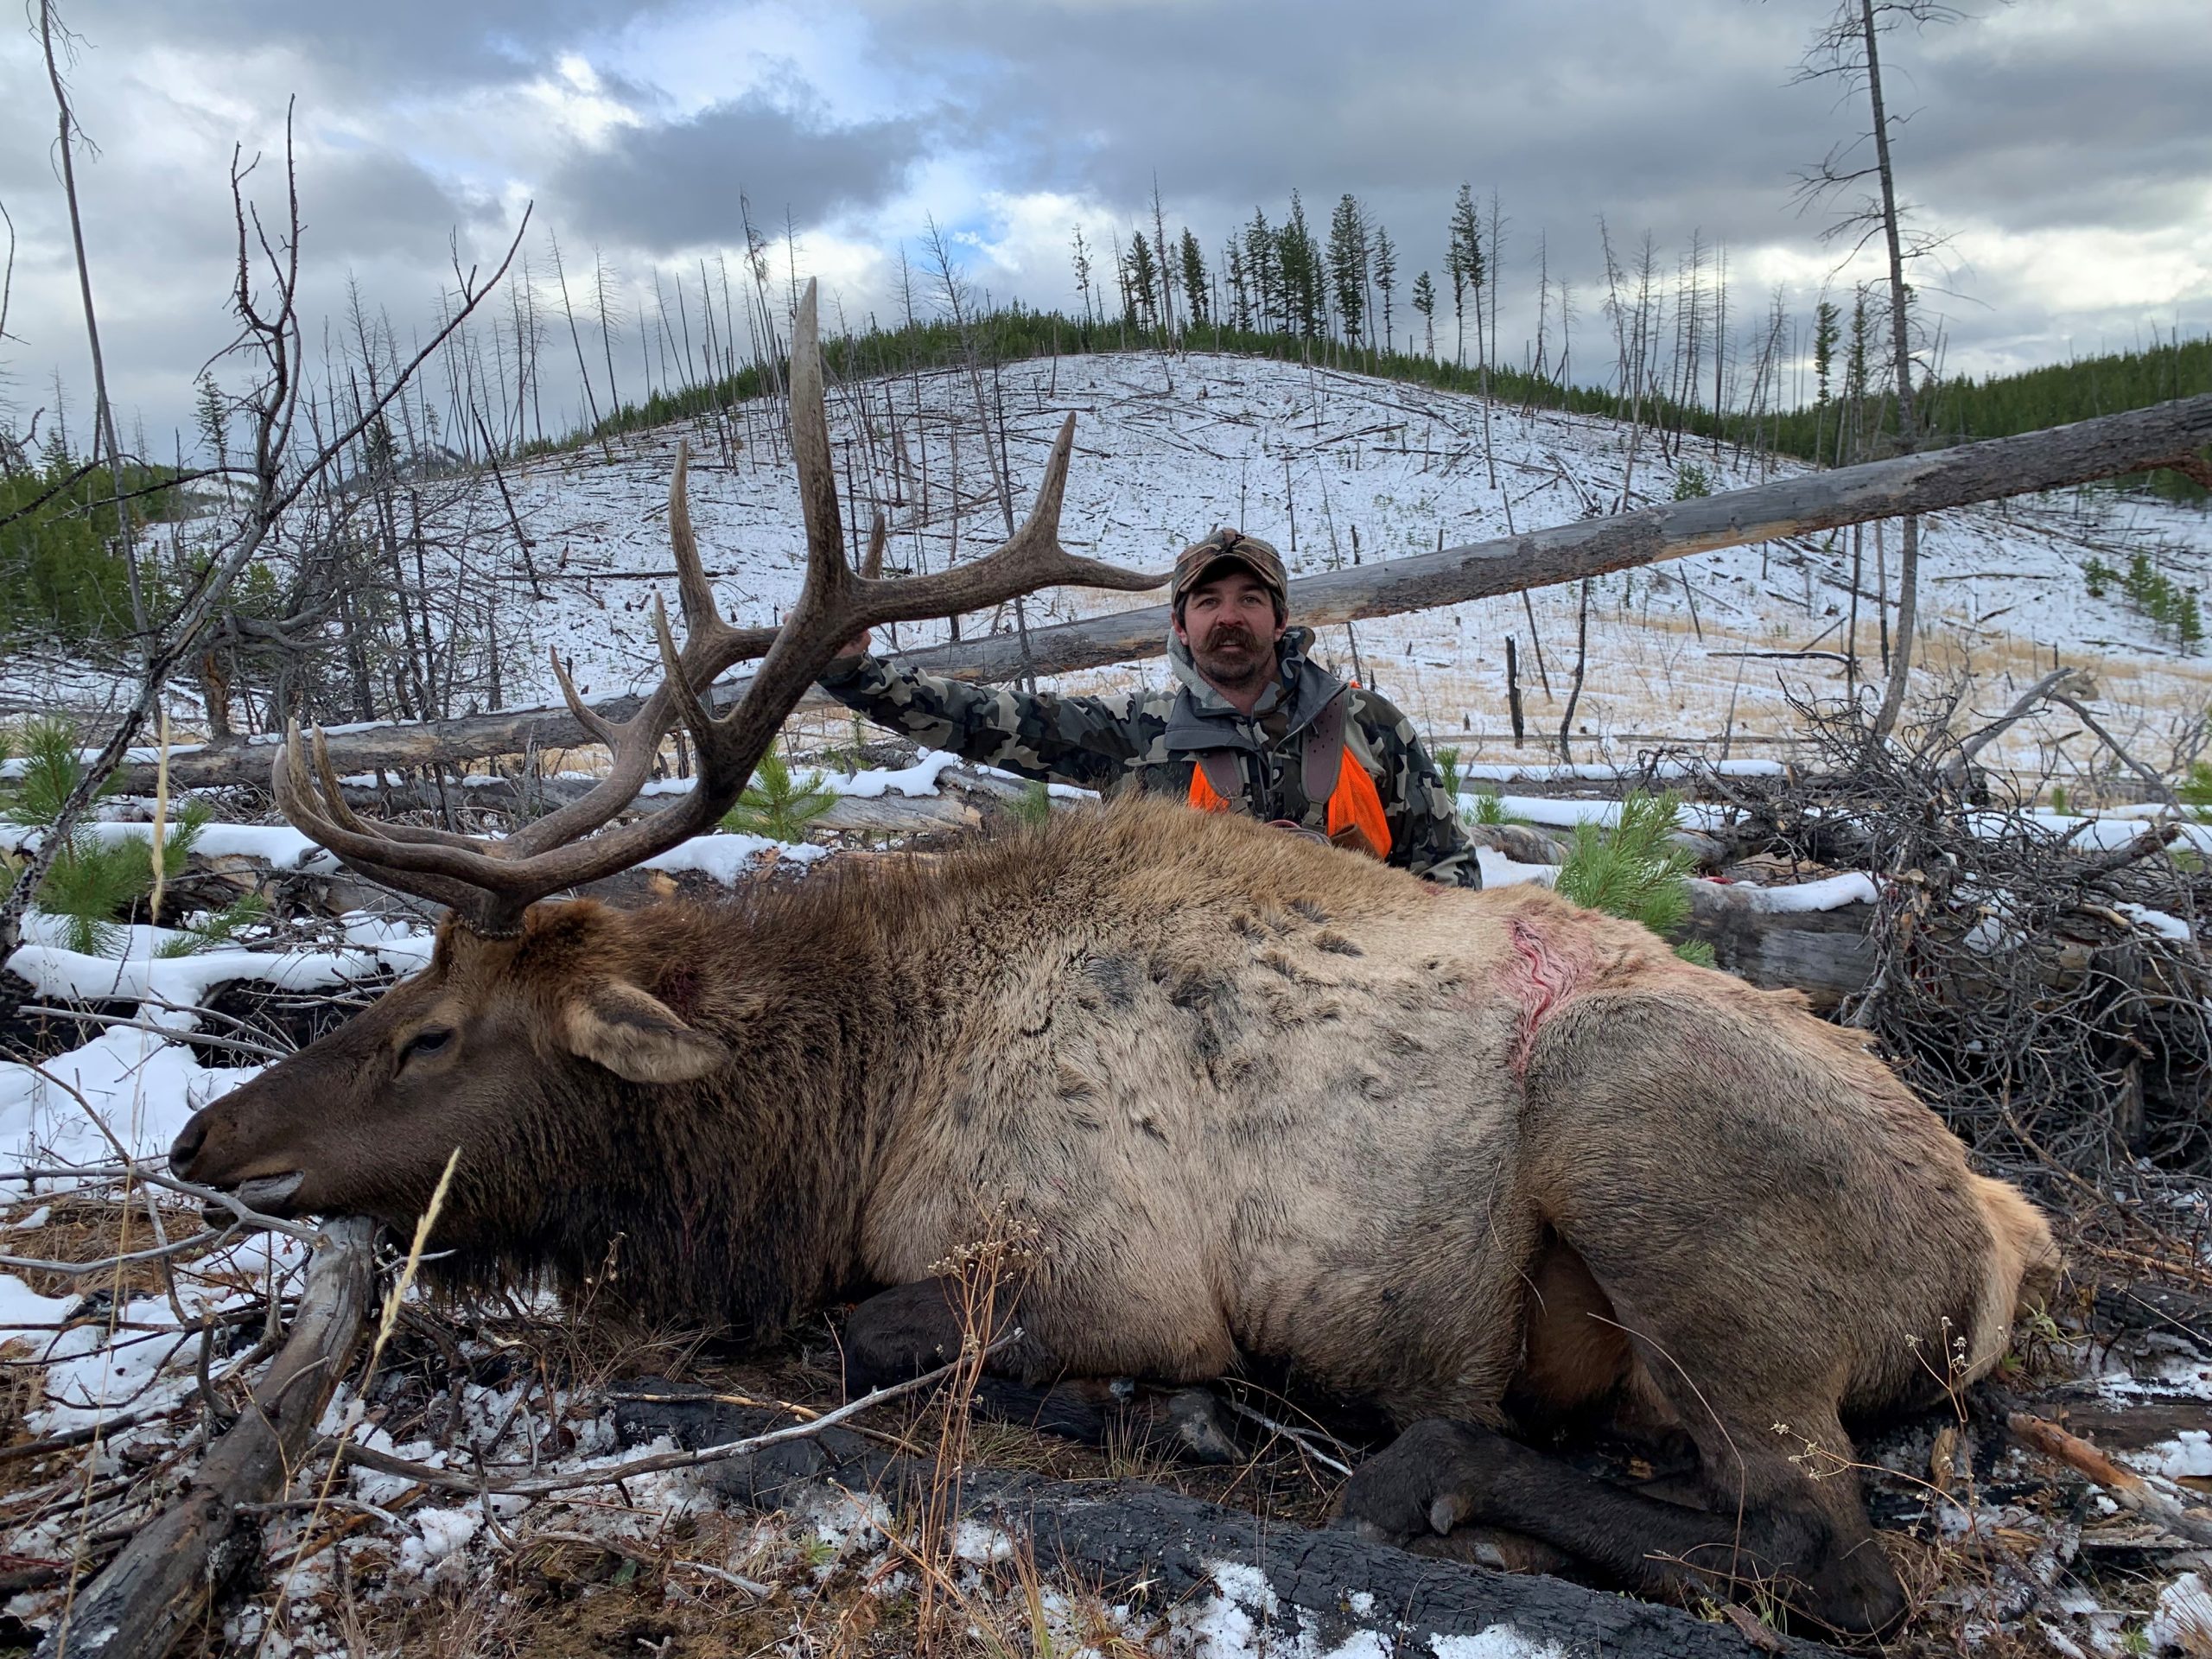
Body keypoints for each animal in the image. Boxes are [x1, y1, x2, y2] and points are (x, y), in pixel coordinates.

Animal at [169, 281, 2057, 1637]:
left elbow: (867, 1337)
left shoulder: (1105, 1266)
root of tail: (1996, 1245)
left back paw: (1431, 1469)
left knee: (1828, 1558)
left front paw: (1158, 1416)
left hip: (1640, 1140)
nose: (204, 1139)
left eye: (435, 1033)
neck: (831, 1117)